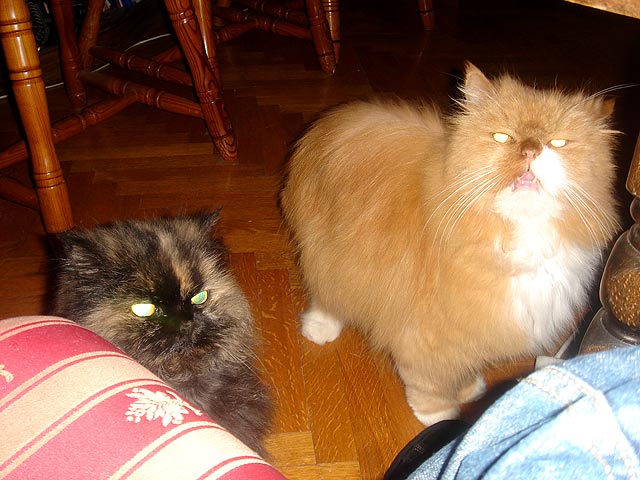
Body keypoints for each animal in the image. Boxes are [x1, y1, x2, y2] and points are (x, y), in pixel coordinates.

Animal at [280, 62, 620, 425]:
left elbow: (463, 369)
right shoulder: (430, 335)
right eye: (502, 137)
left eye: (558, 142)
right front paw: (440, 417)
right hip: (331, 254)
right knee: (326, 295)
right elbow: (431, 383)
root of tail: (331, 121)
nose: (530, 150)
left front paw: (470, 389)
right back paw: (320, 328)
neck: (515, 237)